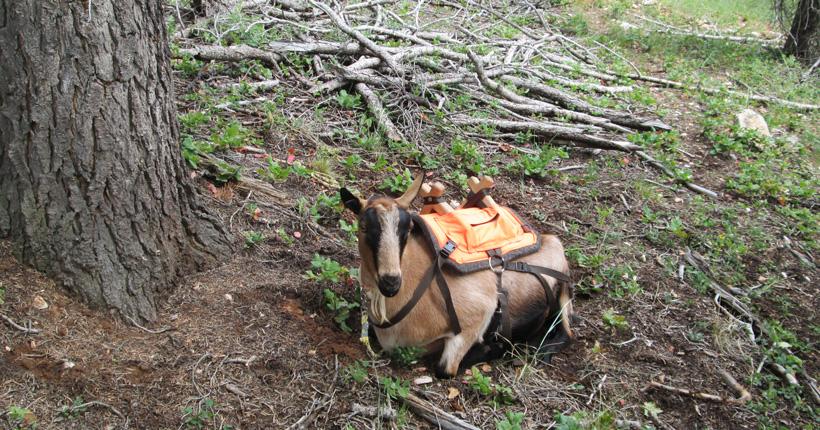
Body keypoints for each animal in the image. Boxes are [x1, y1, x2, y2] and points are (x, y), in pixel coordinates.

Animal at [340, 174, 574, 377]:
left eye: (408, 230)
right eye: (363, 227)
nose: (391, 283)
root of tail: (548, 238)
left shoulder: (479, 314)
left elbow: (444, 369)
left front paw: (494, 347)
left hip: (563, 291)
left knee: (567, 333)